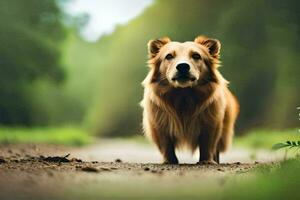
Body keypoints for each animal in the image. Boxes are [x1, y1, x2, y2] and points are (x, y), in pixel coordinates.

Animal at [140, 35, 239, 164]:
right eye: (169, 56)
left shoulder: (211, 121)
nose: (183, 66)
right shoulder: (159, 123)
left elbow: (207, 144)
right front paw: (169, 161)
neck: (184, 95)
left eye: (196, 56)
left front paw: (206, 161)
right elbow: (166, 144)